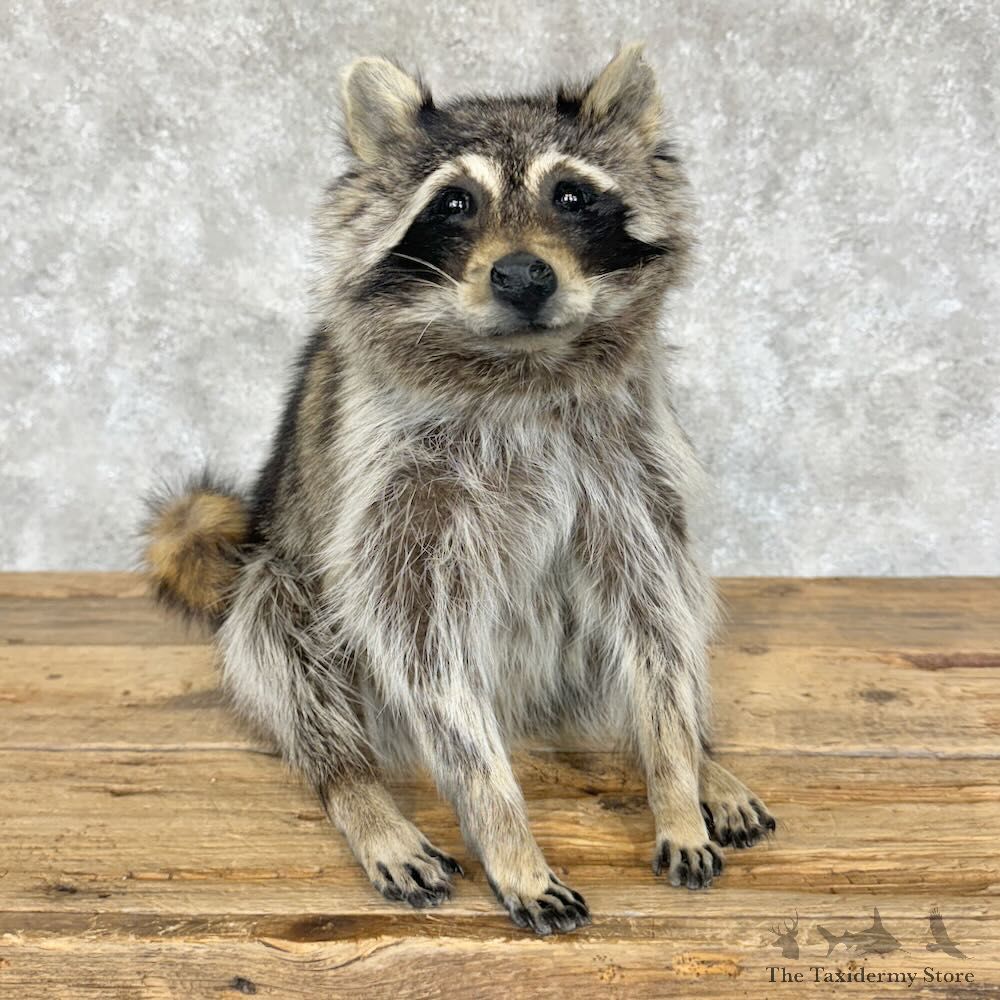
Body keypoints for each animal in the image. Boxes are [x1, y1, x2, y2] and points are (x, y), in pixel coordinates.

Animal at [143, 44, 775, 935]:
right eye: (453, 202)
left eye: (571, 195)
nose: (524, 276)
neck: (521, 363)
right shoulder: (394, 487)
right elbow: (420, 651)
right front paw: (504, 831)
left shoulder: (628, 467)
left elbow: (654, 615)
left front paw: (675, 773)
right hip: (280, 569)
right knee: (280, 634)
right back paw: (358, 789)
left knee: (675, 612)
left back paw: (697, 755)